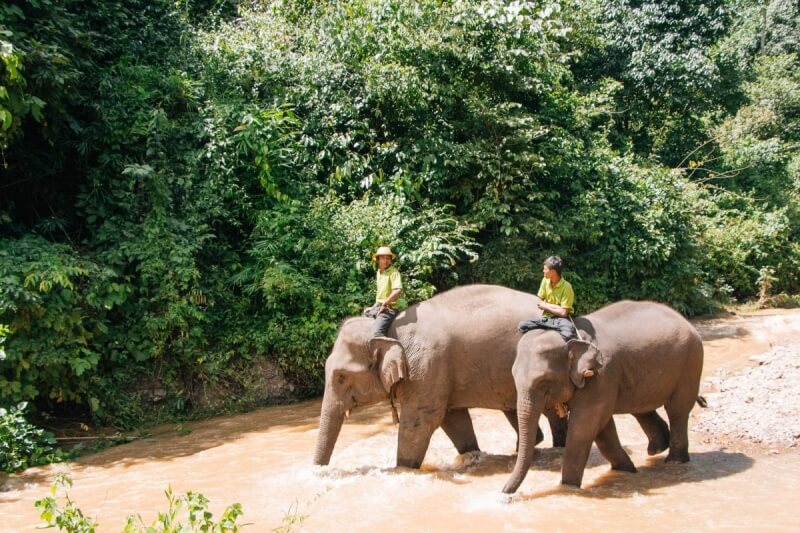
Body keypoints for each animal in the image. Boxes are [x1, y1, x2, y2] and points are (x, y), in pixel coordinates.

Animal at [313, 284, 570, 469]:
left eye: (341, 377)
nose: (319, 472)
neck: (387, 328)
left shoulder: (426, 366)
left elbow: (420, 421)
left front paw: (402, 469)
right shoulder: (437, 374)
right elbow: (452, 418)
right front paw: (471, 457)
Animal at [503, 300, 704, 493]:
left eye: (544, 382)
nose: (505, 493)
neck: (573, 339)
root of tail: (685, 321)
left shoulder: (601, 376)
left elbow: (585, 426)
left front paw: (567, 487)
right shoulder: (601, 381)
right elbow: (603, 428)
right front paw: (626, 470)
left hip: (690, 363)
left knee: (677, 410)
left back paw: (675, 461)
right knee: (642, 410)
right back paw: (656, 449)